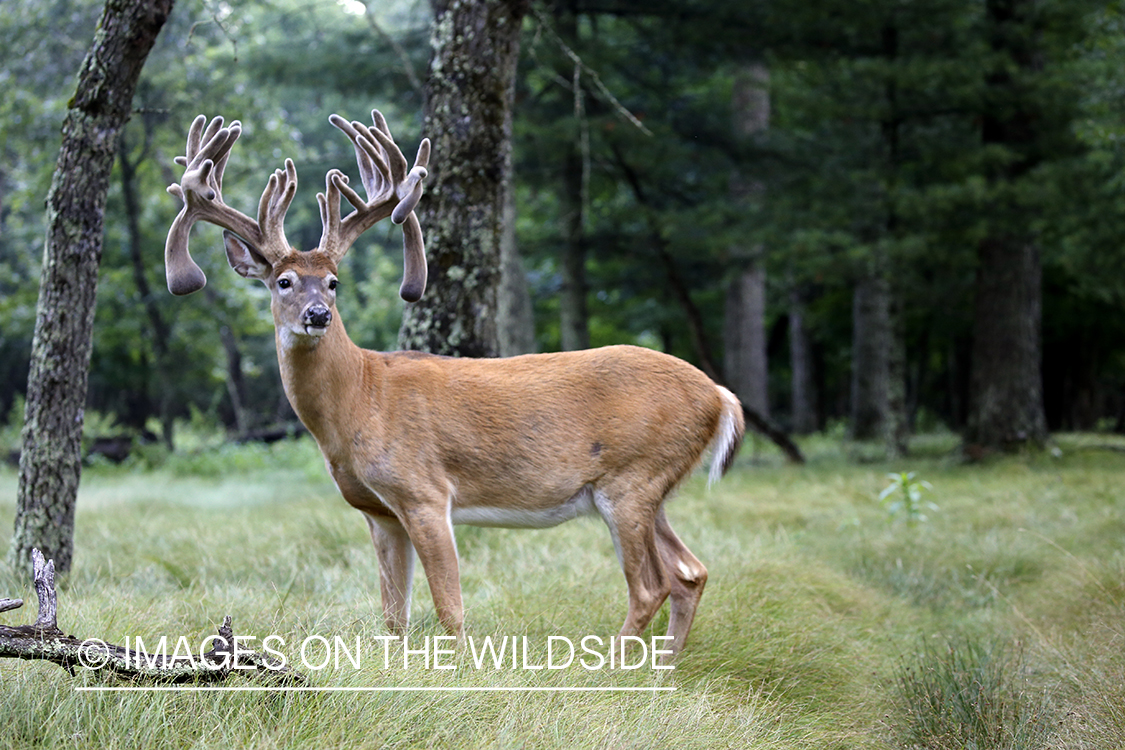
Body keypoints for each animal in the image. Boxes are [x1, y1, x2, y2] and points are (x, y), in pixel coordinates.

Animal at [163, 110, 742, 656]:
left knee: (650, 586)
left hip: (631, 478)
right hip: (652, 488)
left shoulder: (424, 491)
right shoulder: (380, 511)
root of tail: (720, 396)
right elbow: (393, 616)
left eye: (333, 282)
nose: (317, 315)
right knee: (690, 573)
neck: (361, 400)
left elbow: (449, 609)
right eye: (283, 281)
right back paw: (661, 668)